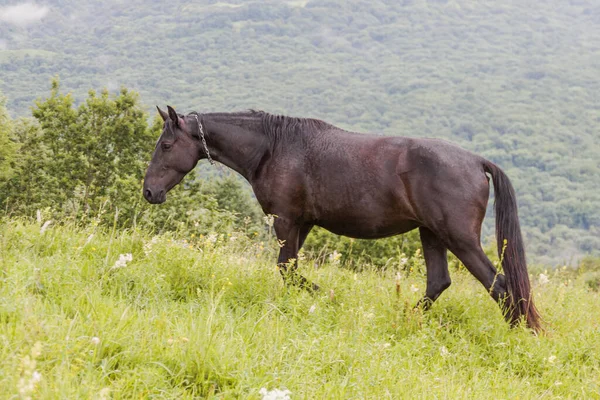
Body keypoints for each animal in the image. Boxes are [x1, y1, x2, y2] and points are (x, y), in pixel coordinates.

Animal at [143, 105, 540, 332]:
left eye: (166, 145)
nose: (149, 192)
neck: (273, 148)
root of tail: (476, 161)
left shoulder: (286, 220)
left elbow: (287, 269)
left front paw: (327, 297)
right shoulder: (301, 223)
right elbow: (289, 270)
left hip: (459, 238)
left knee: (499, 286)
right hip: (431, 234)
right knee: (438, 283)